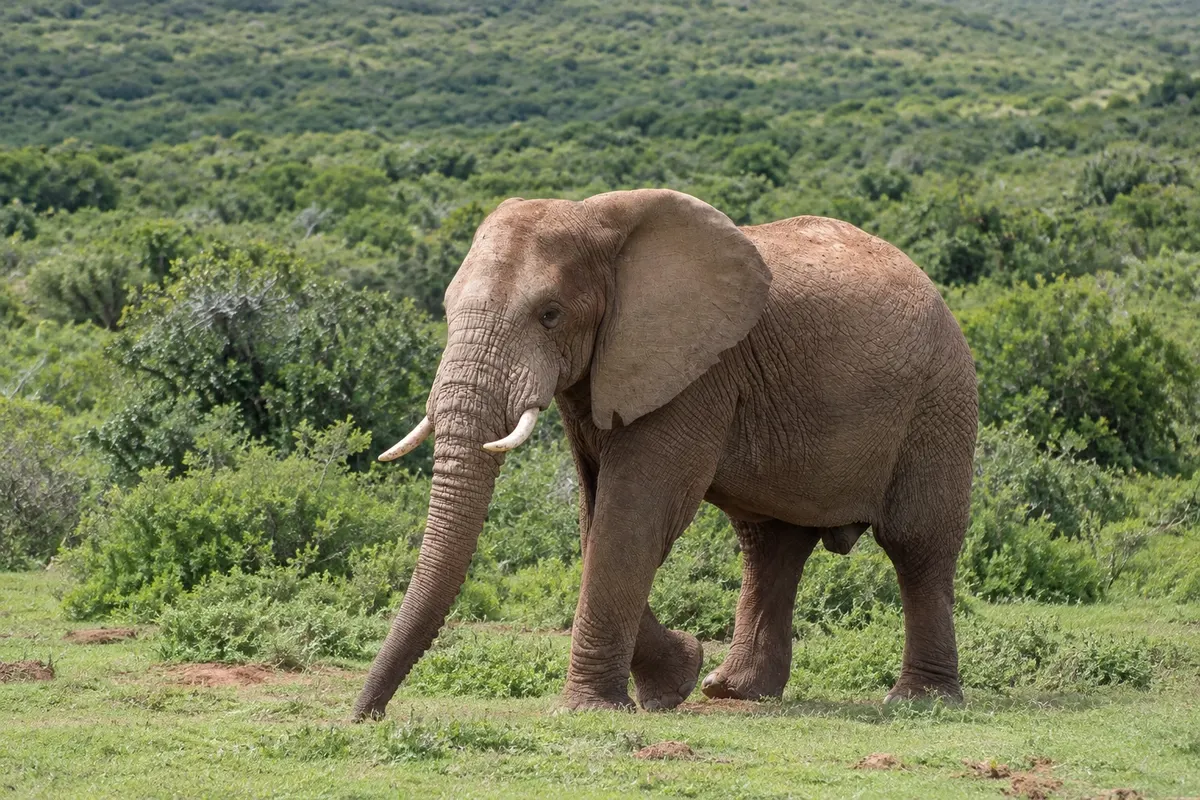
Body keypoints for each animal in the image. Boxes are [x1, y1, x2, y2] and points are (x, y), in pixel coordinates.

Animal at [352, 189, 978, 720]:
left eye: (550, 314)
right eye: (445, 308)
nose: (367, 717)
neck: (600, 222)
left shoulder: (696, 373)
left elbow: (633, 516)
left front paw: (591, 710)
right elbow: (595, 519)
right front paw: (674, 681)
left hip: (939, 399)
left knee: (918, 544)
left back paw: (919, 701)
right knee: (769, 546)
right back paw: (732, 691)